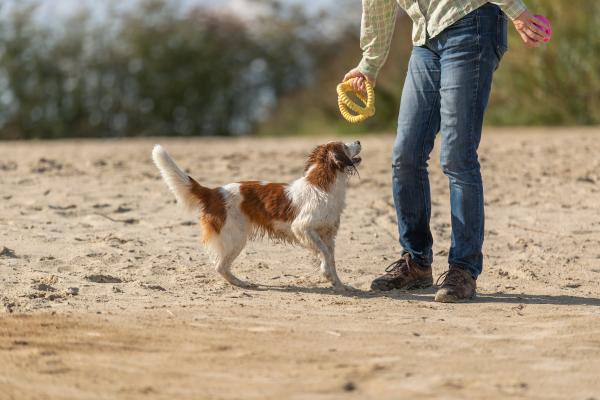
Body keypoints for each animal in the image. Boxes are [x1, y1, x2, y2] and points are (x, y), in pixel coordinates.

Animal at [152, 142, 364, 290]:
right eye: (345, 146)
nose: (358, 141)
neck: (322, 187)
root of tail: (214, 192)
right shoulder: (302, 227)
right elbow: (325, 254)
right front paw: (326, 273)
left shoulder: (328, 235)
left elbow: (331, 259)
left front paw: (338, 284)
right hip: (235, 238)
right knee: (220, 266)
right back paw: (241, 283)